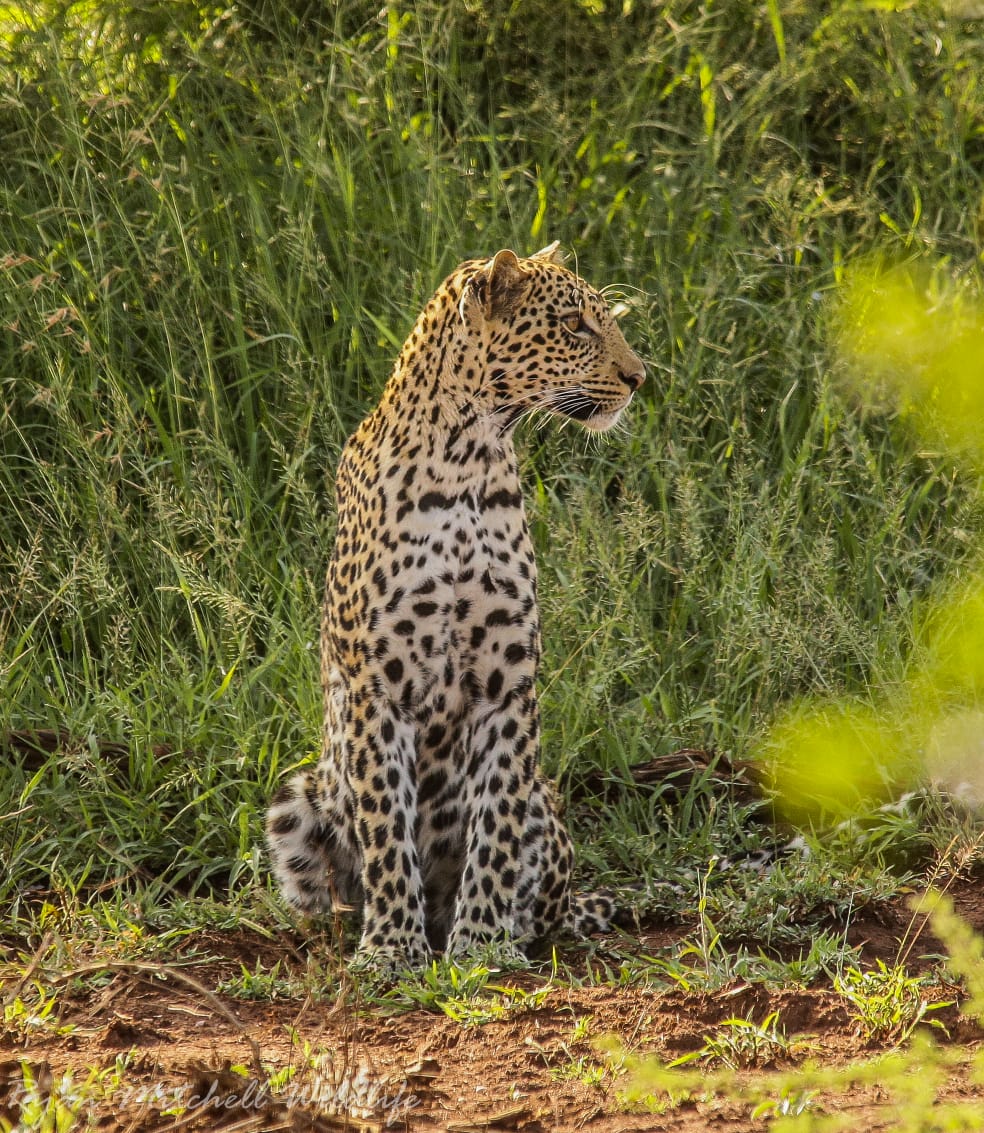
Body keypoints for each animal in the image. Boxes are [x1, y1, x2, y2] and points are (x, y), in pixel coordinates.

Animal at [265, 242, 645, 967]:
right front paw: (391, 949)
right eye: (575, 325)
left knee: (540, 893)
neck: (467, 459)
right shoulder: (376, 691)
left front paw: (482, 945)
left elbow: (495, 827)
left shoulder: (509, 686)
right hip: (295, 800)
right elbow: (386, 827)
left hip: (546, 805)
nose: (639, 378)